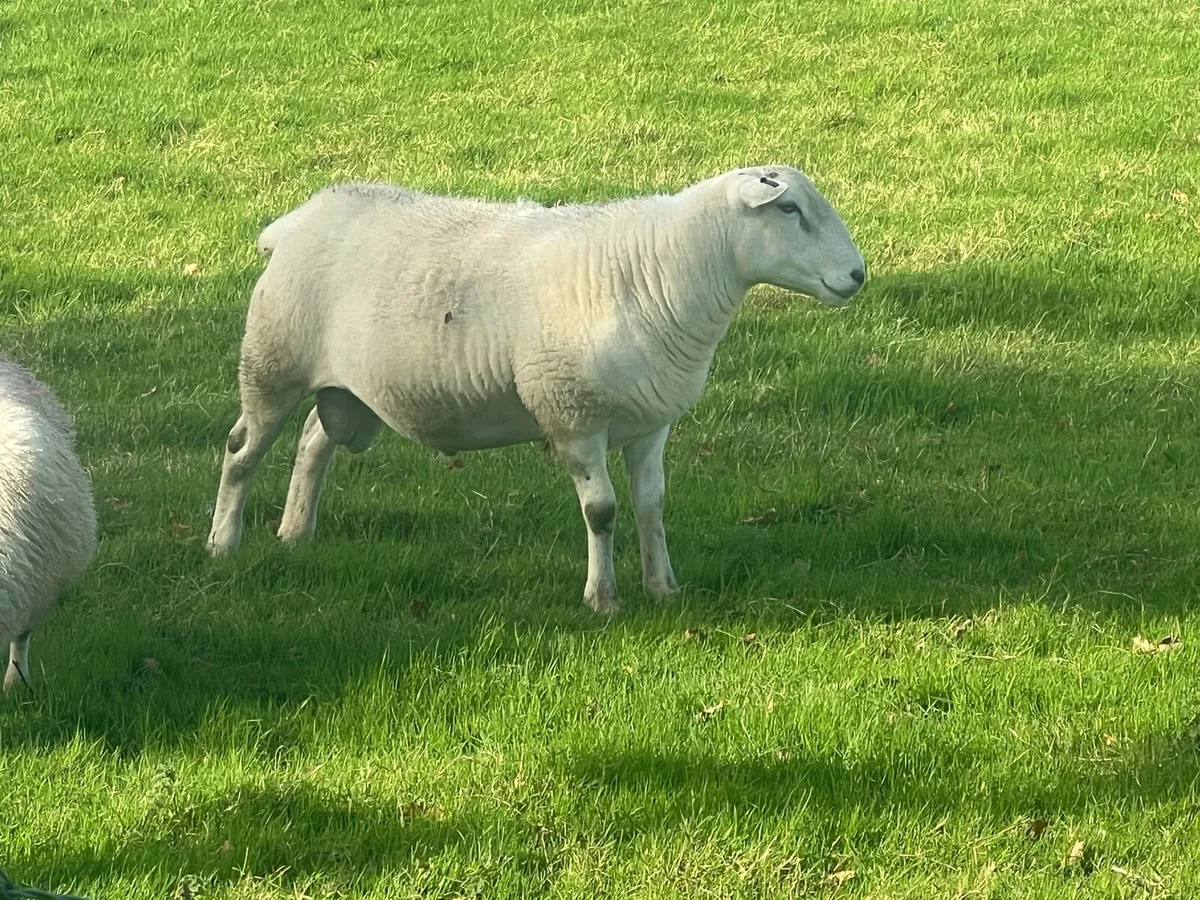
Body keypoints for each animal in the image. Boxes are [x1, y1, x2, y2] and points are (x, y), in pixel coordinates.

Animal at [206, 165, 865, 614]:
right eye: (789, 210)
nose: (858, 275)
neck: (669, 269)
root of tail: (296, 220)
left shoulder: (651, 421)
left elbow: (651, 505)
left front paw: (663, 588)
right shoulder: (572, 414)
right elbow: (602, 511)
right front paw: (603, 599)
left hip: (350, 390)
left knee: (314, 442)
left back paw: (296, 534)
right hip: (272, 363)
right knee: (242, 452)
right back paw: (222, 543)